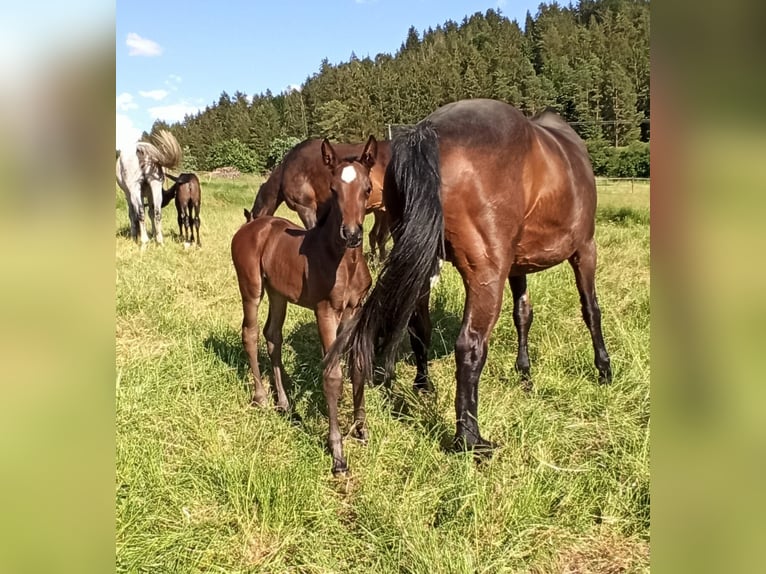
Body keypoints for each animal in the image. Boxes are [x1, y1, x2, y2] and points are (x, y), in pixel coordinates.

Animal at [328, 101, 616, 456]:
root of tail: (429, 131)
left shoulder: (517, 266)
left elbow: (523, 314)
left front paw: (524, 373)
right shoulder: (585, 249)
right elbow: (591, 310)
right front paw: (603, 368)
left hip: (424, 261)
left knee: (419, 325)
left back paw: (424, 386)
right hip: (486, 275)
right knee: (469, 345)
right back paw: (470, 439)